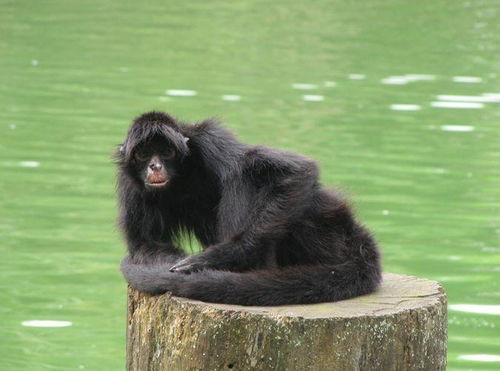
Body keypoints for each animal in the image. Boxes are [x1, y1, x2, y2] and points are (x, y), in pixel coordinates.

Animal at [117, 111, 382, 306]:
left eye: (167, 152)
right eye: (143, 154)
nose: (155, 166)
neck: (183, 176)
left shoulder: (210, 138)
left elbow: (299, 170)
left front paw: (219, 257)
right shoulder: (131, 185)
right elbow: (146, 244)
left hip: (322, 229)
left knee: (243, 172)